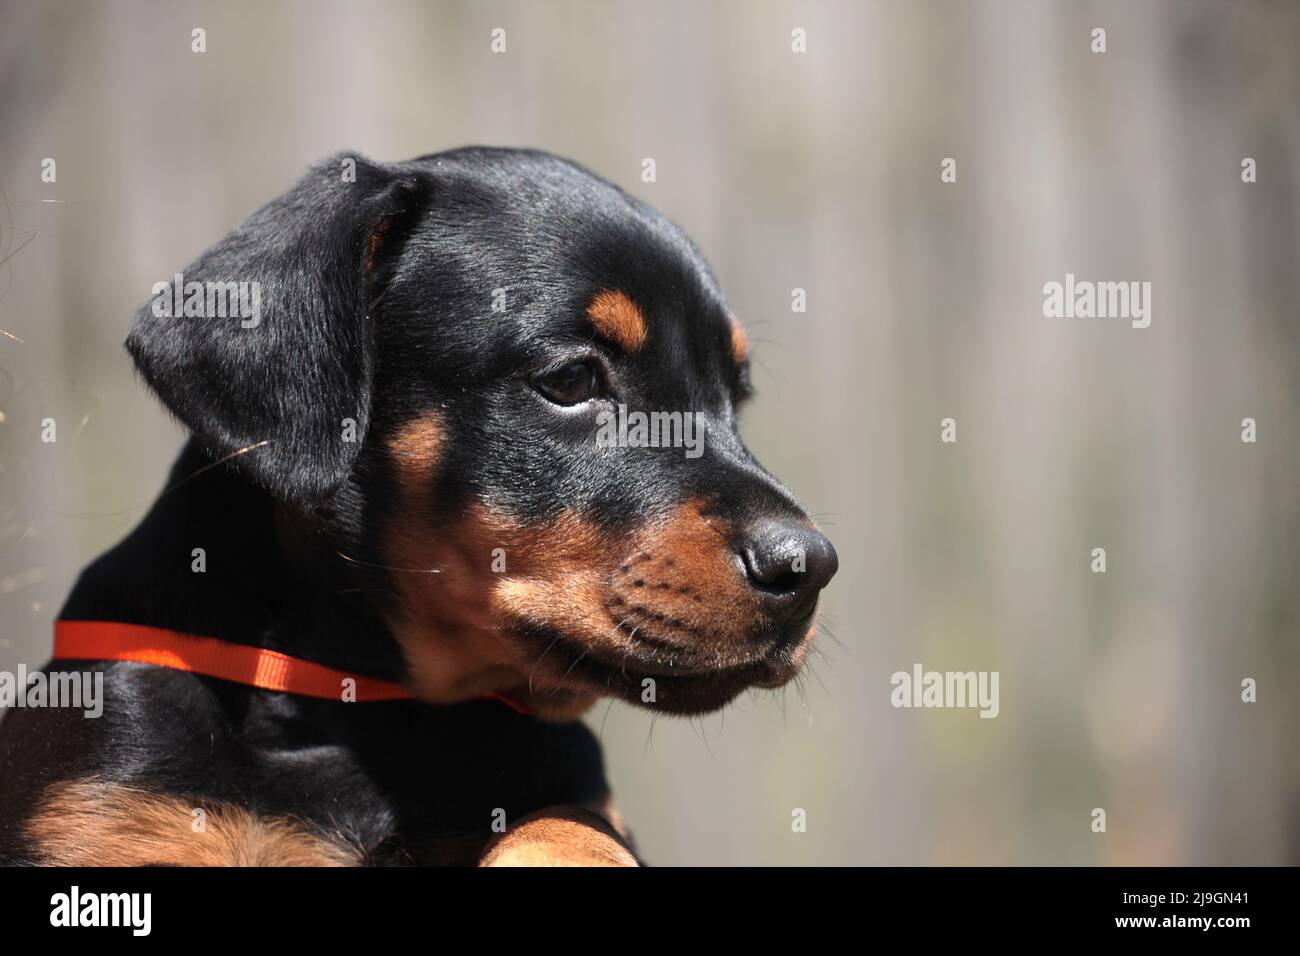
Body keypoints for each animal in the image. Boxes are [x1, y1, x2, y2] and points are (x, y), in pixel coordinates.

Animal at [0, 147, 832, 868]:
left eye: (735, 400)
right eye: (571, 379)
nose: (811, 566)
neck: (367, 712)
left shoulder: (573, 788)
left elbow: (572, 821)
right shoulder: (110, 806)